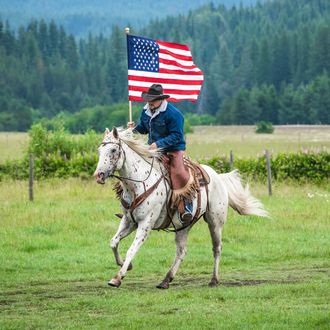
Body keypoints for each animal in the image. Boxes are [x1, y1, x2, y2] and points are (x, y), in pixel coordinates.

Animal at [93, 127, 268, 288]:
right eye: (100, 150)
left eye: (113, 150)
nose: (98, 175)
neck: (138, 184)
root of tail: (218, 177)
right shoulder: (129, 221)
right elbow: (114, 242)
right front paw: (126, 265)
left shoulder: (145, 224)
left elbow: (131, 249)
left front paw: (117, 277)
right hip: (183, 226)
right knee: (181, 251)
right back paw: (166, 280)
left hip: (215, 222)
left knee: (217, 248)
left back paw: (214, 280)